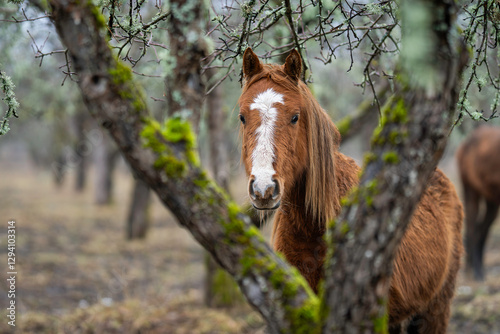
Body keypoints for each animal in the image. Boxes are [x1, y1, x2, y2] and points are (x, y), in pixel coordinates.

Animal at [458, 126, 500, 280]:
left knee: (481, 229)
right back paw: (475, 270)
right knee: (472, 228)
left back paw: (475, 266)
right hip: (470, 191)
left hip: (492, 199)